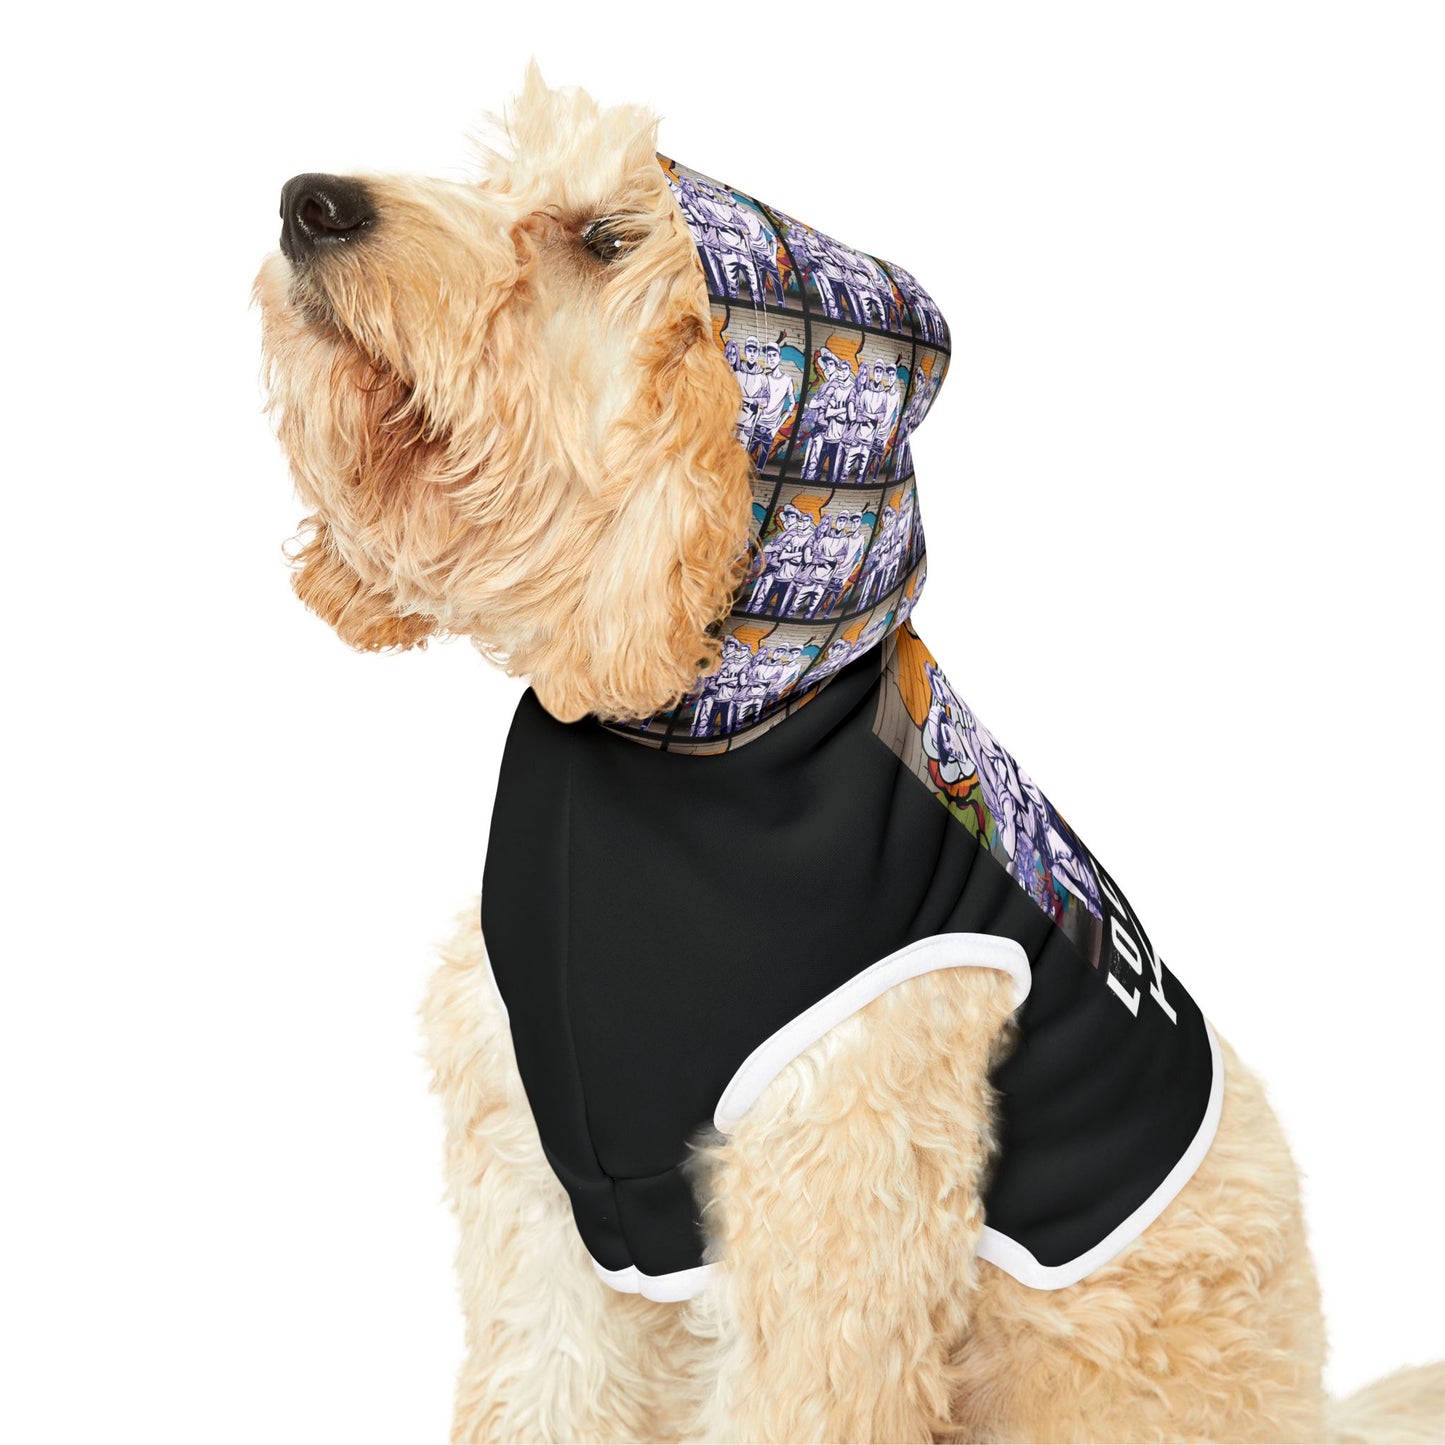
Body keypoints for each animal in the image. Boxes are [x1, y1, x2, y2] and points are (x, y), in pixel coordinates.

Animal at [255, 66, 1444, 1444]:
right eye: (494, 187)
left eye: (602, 239)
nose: (307, 200)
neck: (707, 735)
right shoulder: (542, 1177)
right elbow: (544, 1379)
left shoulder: (831, 1188)